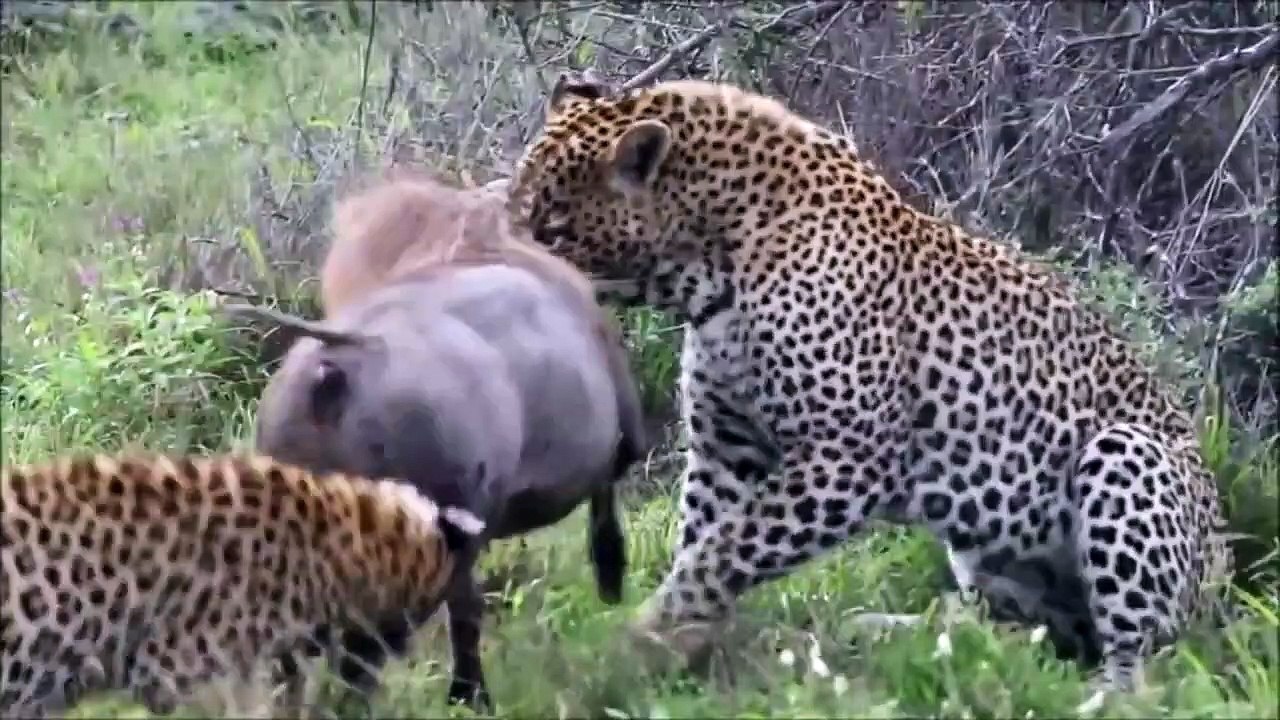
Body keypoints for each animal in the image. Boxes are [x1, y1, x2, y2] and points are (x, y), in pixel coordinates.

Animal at [503, 73, 1235, 695]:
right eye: (514, 207)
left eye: (554, 228)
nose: (501, 259)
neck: (706, 271)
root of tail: (1224, 577)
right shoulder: (726, 446)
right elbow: (701, 543)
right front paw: (688, 642)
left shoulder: (846, 457)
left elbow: (729, 549)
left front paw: (648, 635)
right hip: (987, 554)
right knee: (1020, 632)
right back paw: (890, 632)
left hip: (1126, 456)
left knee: (1142, 662)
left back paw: (1098, 693)